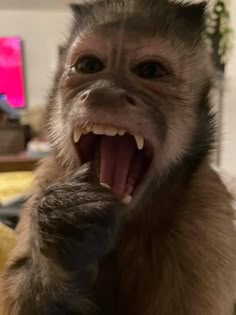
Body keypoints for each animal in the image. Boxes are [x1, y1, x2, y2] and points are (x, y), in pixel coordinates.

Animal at [0, 0, 236, 315]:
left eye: (150, 70)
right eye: (90, 66)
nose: (104, 92)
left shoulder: (208, 213)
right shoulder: (47, 180)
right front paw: (64, 237)